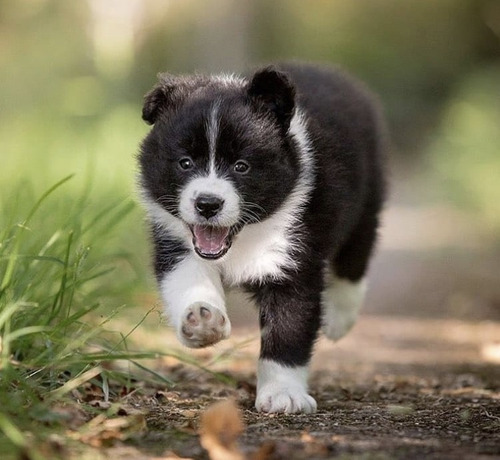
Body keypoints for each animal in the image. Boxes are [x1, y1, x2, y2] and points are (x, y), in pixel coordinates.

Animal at [137, 62, 386, 414]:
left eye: (242, 166)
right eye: (185, 163)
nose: (207, 204)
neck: (245, 236)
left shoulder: (294, 261)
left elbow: (289, 330)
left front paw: (284, 394)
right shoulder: (176, 244)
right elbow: (186, 280)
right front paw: (201, 320)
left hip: (368, 198)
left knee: (356, 255)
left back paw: (339, 318)